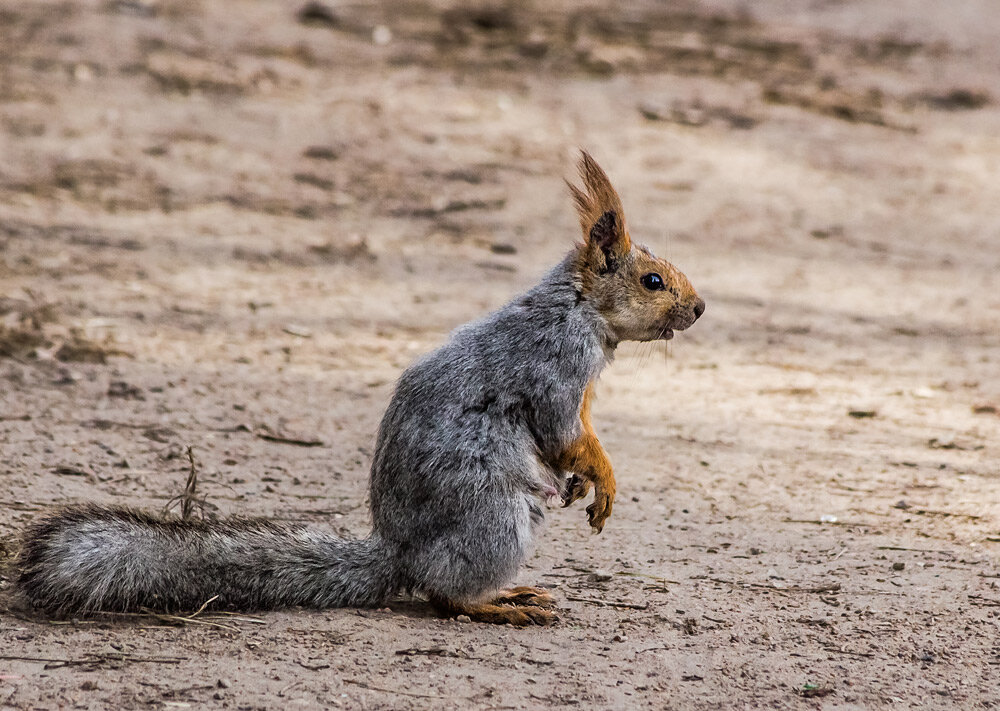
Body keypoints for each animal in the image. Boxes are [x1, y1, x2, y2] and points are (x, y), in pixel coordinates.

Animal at [13, 149, 704, 624]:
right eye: (651, 281)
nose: (699, 309)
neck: (580, 311)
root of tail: (400, 554)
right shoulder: (555, 368)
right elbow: (564, 434)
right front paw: (603, 481)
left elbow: (576, 442)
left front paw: (586, 482)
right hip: (499, 516)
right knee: (443, 593)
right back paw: (494, 604)